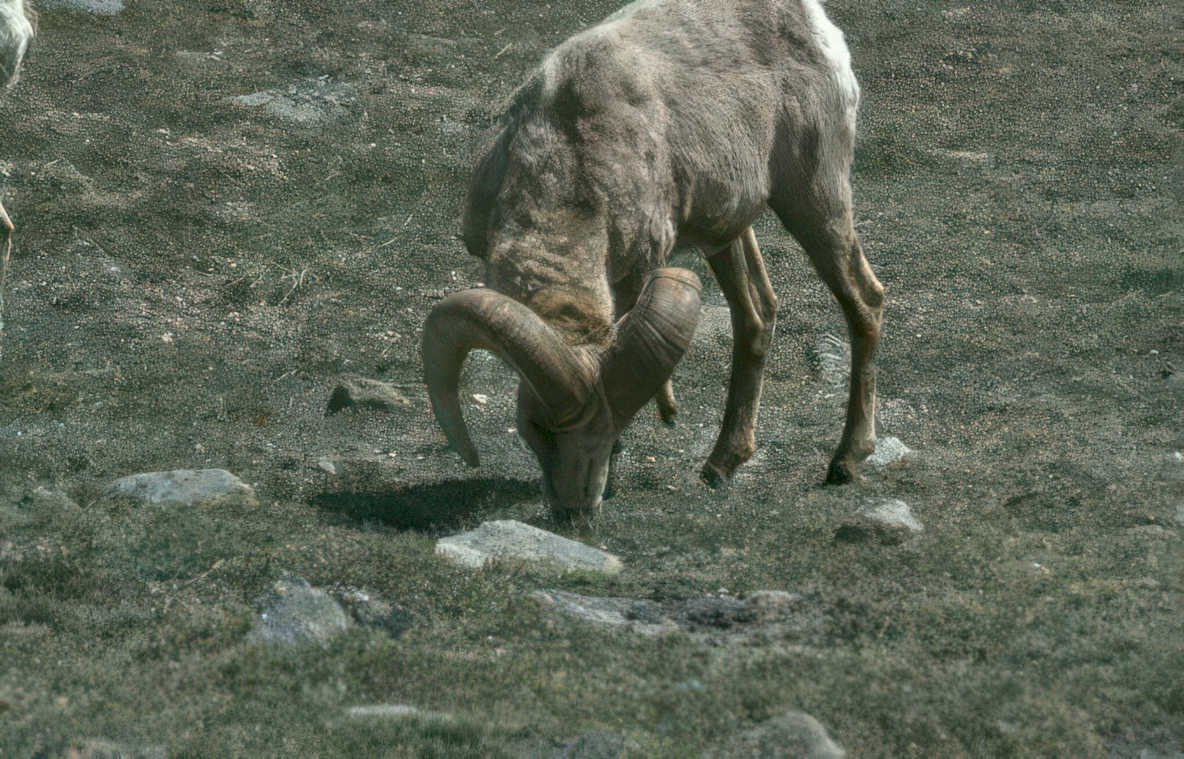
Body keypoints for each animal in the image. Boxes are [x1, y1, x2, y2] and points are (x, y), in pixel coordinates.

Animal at [423, 0, 885, 521]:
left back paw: (846, 460)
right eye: (535, 428)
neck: (567, 155)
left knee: (864, 301)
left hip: (813, 199)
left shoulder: (638, 272)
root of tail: (816, 26)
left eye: (610, 431)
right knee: (757, 315)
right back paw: (721, 465)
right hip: (725, 232)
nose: (578, 509)